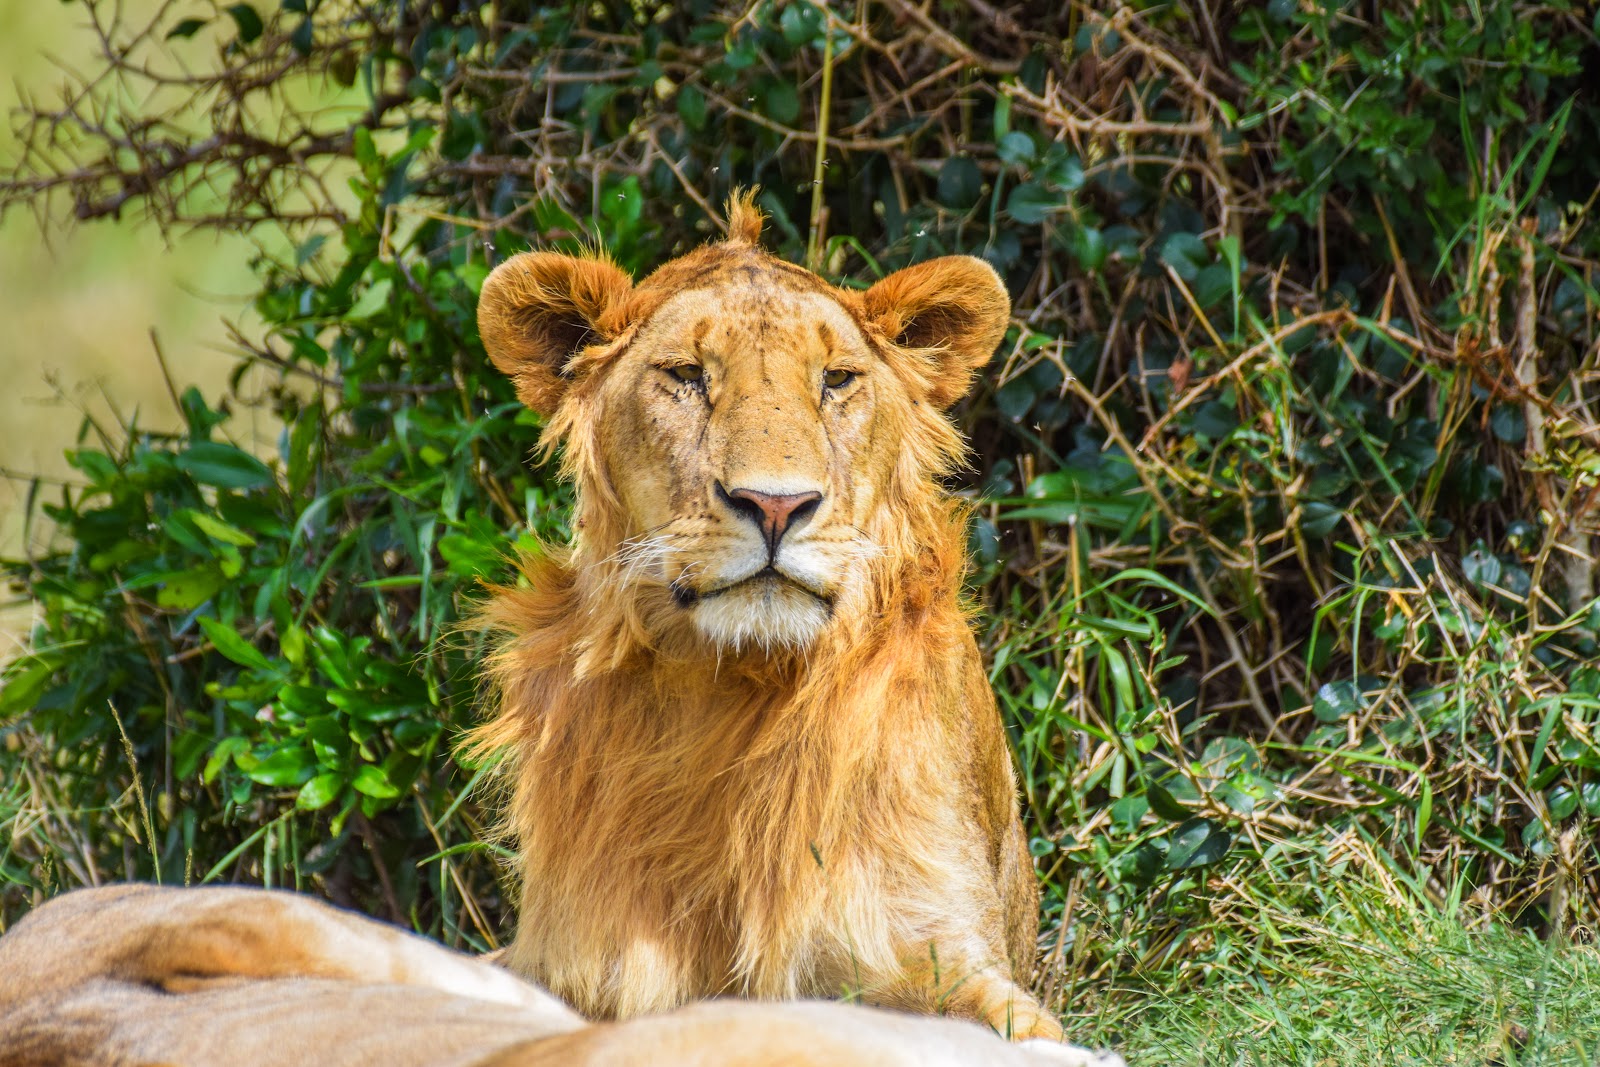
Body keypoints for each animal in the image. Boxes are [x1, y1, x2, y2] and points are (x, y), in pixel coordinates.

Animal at [469, 192, 1062, 1040]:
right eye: (687, 377)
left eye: (837, 380)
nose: (777, 505)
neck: (737, 688)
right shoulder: (573, 966)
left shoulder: (942, 951)